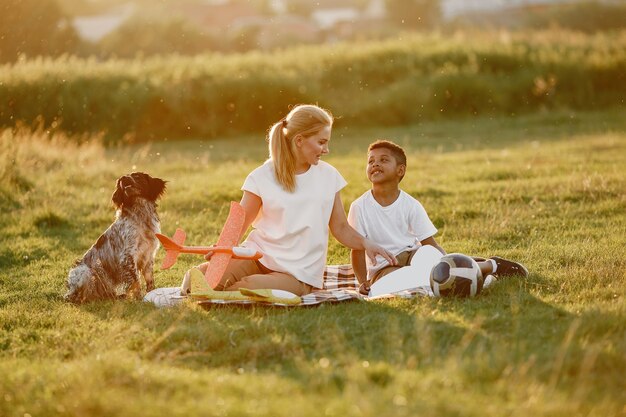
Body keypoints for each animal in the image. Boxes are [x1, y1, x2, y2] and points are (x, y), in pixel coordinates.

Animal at [65, 171, 167, 304]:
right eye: (120, 182)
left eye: (137, 176)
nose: (124, 179)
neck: (140, 217)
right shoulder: (127, 257)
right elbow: (136, 282)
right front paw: (139, 300)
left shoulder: (148, 256)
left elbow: (150, 281)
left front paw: (151, 295)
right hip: (84, 271)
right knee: (75, 296)